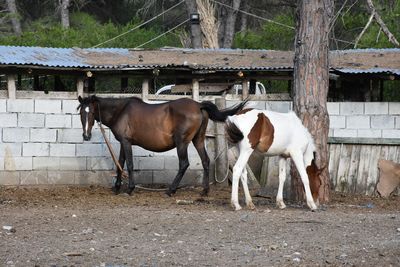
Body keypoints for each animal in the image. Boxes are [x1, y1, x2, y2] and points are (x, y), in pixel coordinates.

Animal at [77, 96, 247, 197]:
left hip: (181, 143)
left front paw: (130, 188)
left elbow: (129, 164)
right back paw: (204, 191)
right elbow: (120, 164)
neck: (121, 111)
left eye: (91, 112)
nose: (86, 136)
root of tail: (199, 105)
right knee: (205, 161)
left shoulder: (126, 142)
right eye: (81, 113)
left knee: (184, 164)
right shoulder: (123, 143)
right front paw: (117, 187)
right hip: (198, 140)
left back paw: (171, 190)